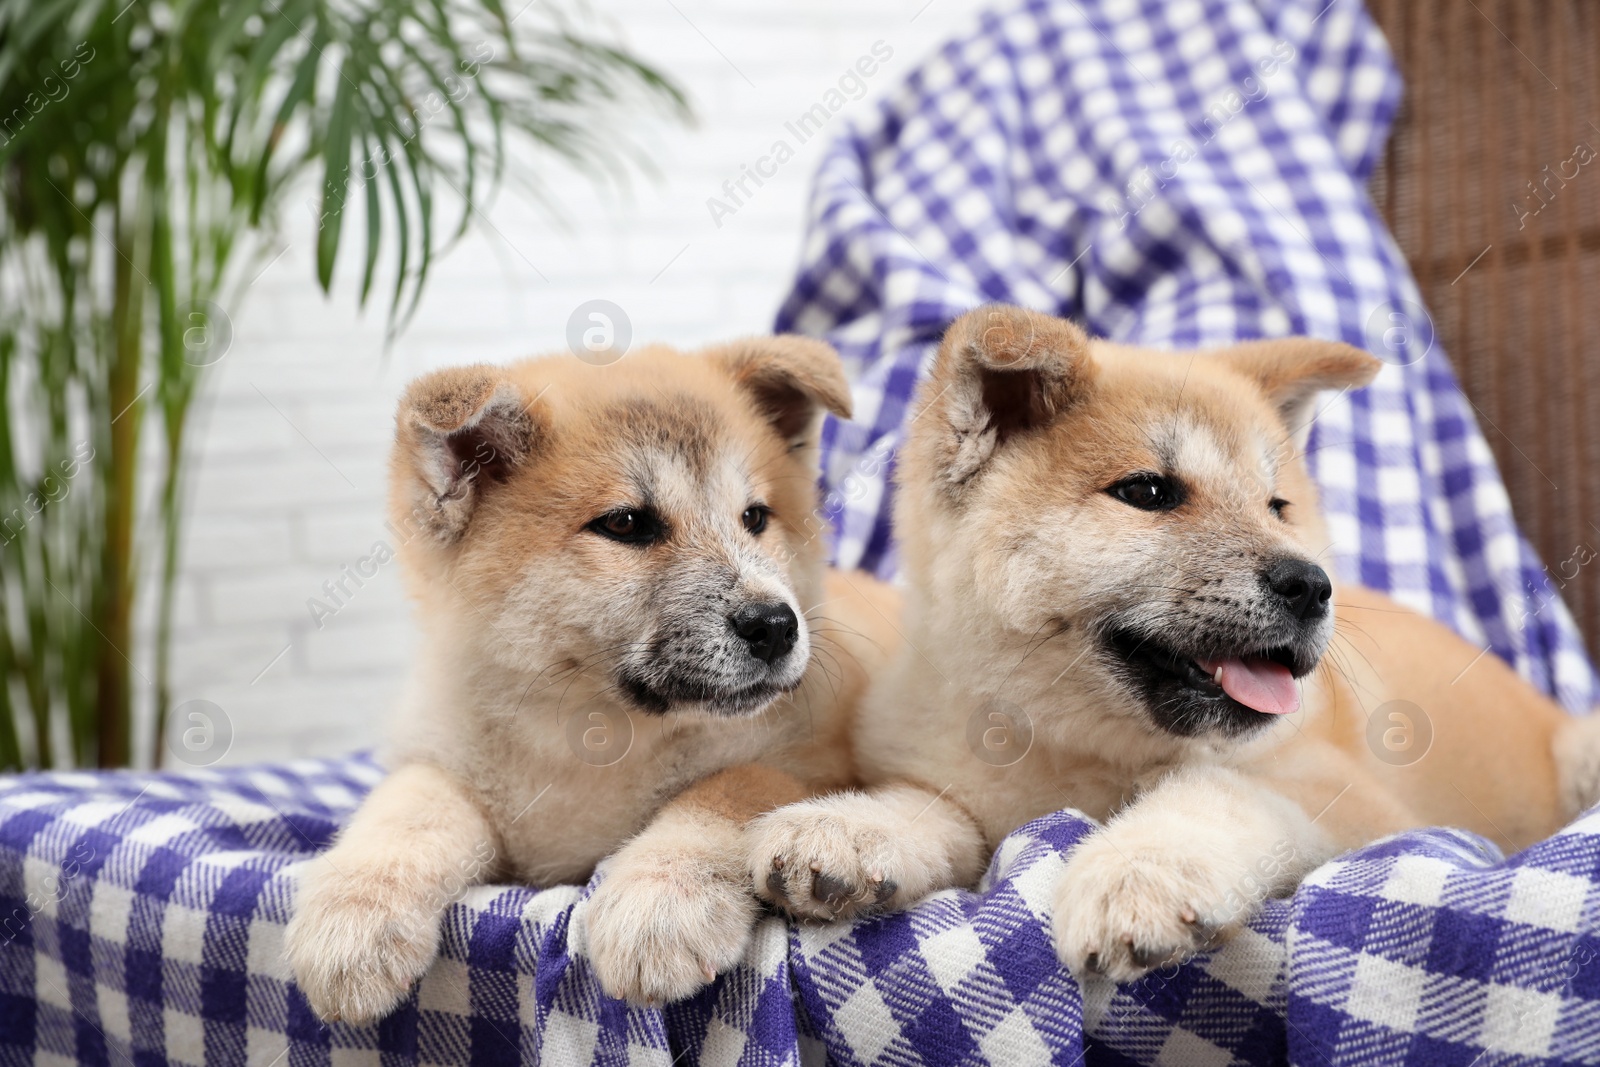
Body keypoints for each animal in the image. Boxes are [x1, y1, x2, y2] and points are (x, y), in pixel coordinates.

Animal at [280, 340, 896, 1017]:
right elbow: (408, 809)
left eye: (755, 517)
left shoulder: (808, 759)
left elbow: (729, 790)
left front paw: (660, 903)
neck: (594, 739)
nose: (776, 625)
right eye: (626, 524)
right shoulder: (448, 758)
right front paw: (351, 917)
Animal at [748, 303, 1600, 991]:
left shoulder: (1353, 799)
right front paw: (851, 828)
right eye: (1149, 492)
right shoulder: (963, 776)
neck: (1079, 755)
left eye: (1277, 505)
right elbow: (932, 806)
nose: (1310, 584)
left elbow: (1216, 790)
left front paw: (1139, 872)